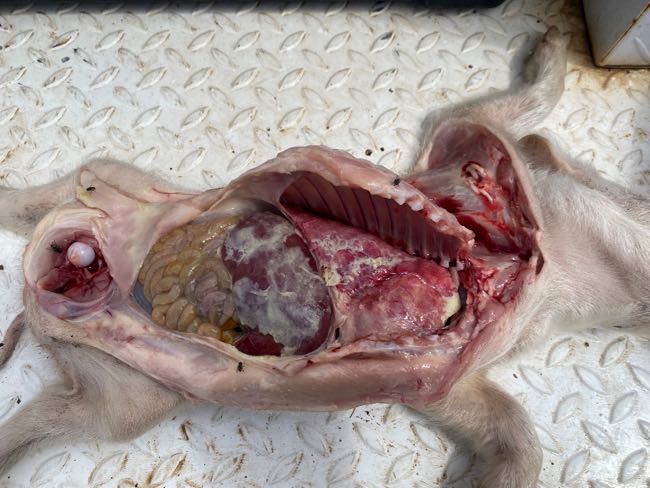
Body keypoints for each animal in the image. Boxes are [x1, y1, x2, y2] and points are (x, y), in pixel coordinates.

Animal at [0, 27, 648, 488]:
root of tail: (48, 281)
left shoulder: (447, 378)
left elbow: (514, 438)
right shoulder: (471, 140)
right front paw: (551, 51)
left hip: (120, 381)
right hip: (124, 382)